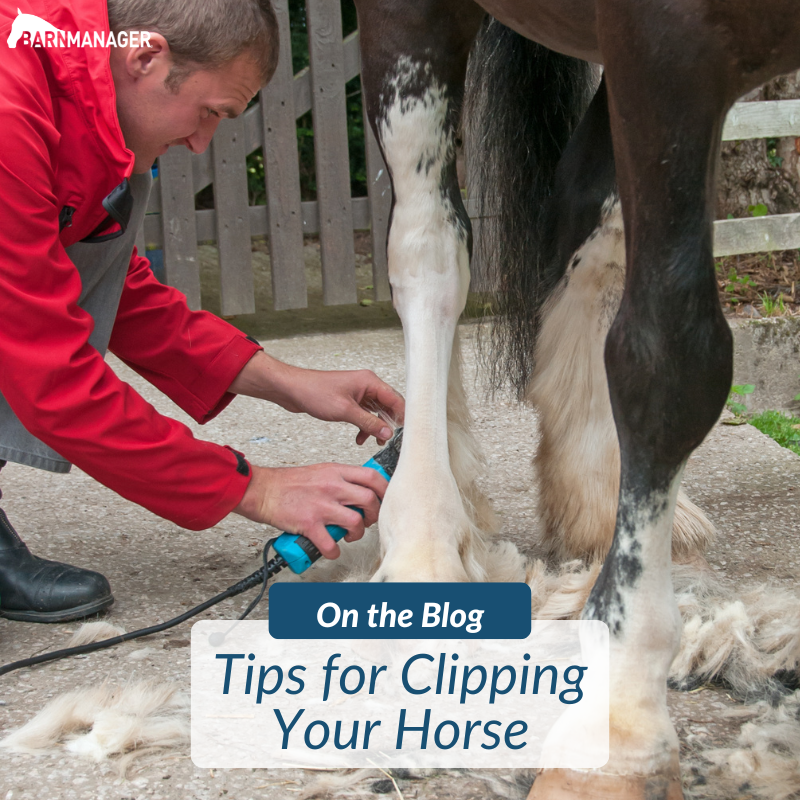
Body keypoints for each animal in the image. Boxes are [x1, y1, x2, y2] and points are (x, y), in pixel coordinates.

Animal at [354, 3, 800, 796]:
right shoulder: (669, 49)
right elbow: (670, 354)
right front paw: (621, 733)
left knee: (585, 216)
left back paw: (589, 492)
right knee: (430, 241)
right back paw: (426, 545)